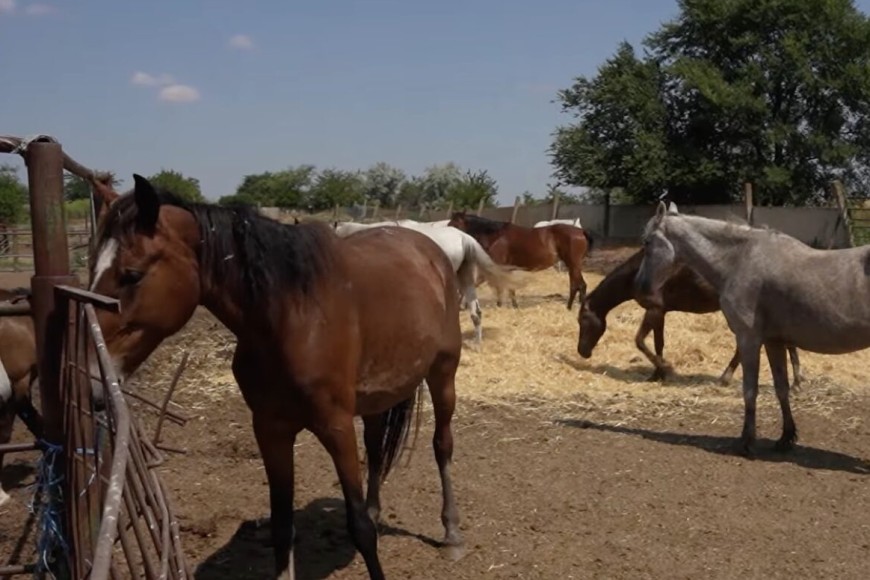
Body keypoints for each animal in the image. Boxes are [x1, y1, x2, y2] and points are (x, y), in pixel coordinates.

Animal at [89, 175, 465, 579]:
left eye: (131, 274)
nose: (97, 381)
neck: (291, 318)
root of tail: (428, 248)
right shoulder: (271, 430)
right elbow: (283, 526)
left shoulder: (336, 426)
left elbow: (359, 527)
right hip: (378, 396)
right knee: (377, 448)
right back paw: (380, 509)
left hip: (443, 374)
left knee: (442, 445)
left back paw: (452, 534)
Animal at [447, 211, 593, 310]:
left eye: (455, 224)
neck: (496, 236)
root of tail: (580, 231)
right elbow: (509, 287)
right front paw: (514, 305)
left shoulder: (497, 267)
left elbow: (497, 286)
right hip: (573, 265)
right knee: (576, 285)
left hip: (573, 264)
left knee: (579, 285)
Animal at [577, 249, 801, 385]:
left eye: (583, 321)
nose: (582, 351)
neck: (639, 271)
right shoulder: (661, 312)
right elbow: (658, 344)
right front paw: (657, 374)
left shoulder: (654, 310)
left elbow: (640, 341)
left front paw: (666, 368)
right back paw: (796, 381)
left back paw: (726, 377)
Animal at [636, 201, 870, 456]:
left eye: (647, 242)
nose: (640, 285)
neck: (739, 260)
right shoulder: (774, 342)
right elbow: (781, 388)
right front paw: (786, 438)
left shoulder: (748, 339)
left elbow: (749, 390)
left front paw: (746, 441)